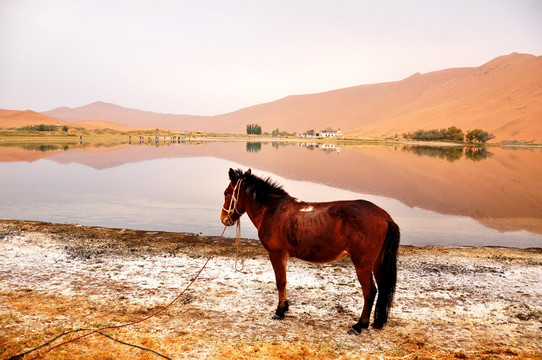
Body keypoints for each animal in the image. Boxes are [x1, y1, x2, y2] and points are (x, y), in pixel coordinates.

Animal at [219, 169, 402, 334]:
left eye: (227, 192)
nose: (224, 219)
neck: (271, 210)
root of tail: (384, 216)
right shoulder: (283, 255)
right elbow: (284, 281)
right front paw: (285, 307)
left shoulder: (275, 253)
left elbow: (280, 282)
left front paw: (279, 311)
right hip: (378, 262)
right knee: (383, 287)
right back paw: (378, 321)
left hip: (362, 264)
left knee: (370, 291)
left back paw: (359, 325)